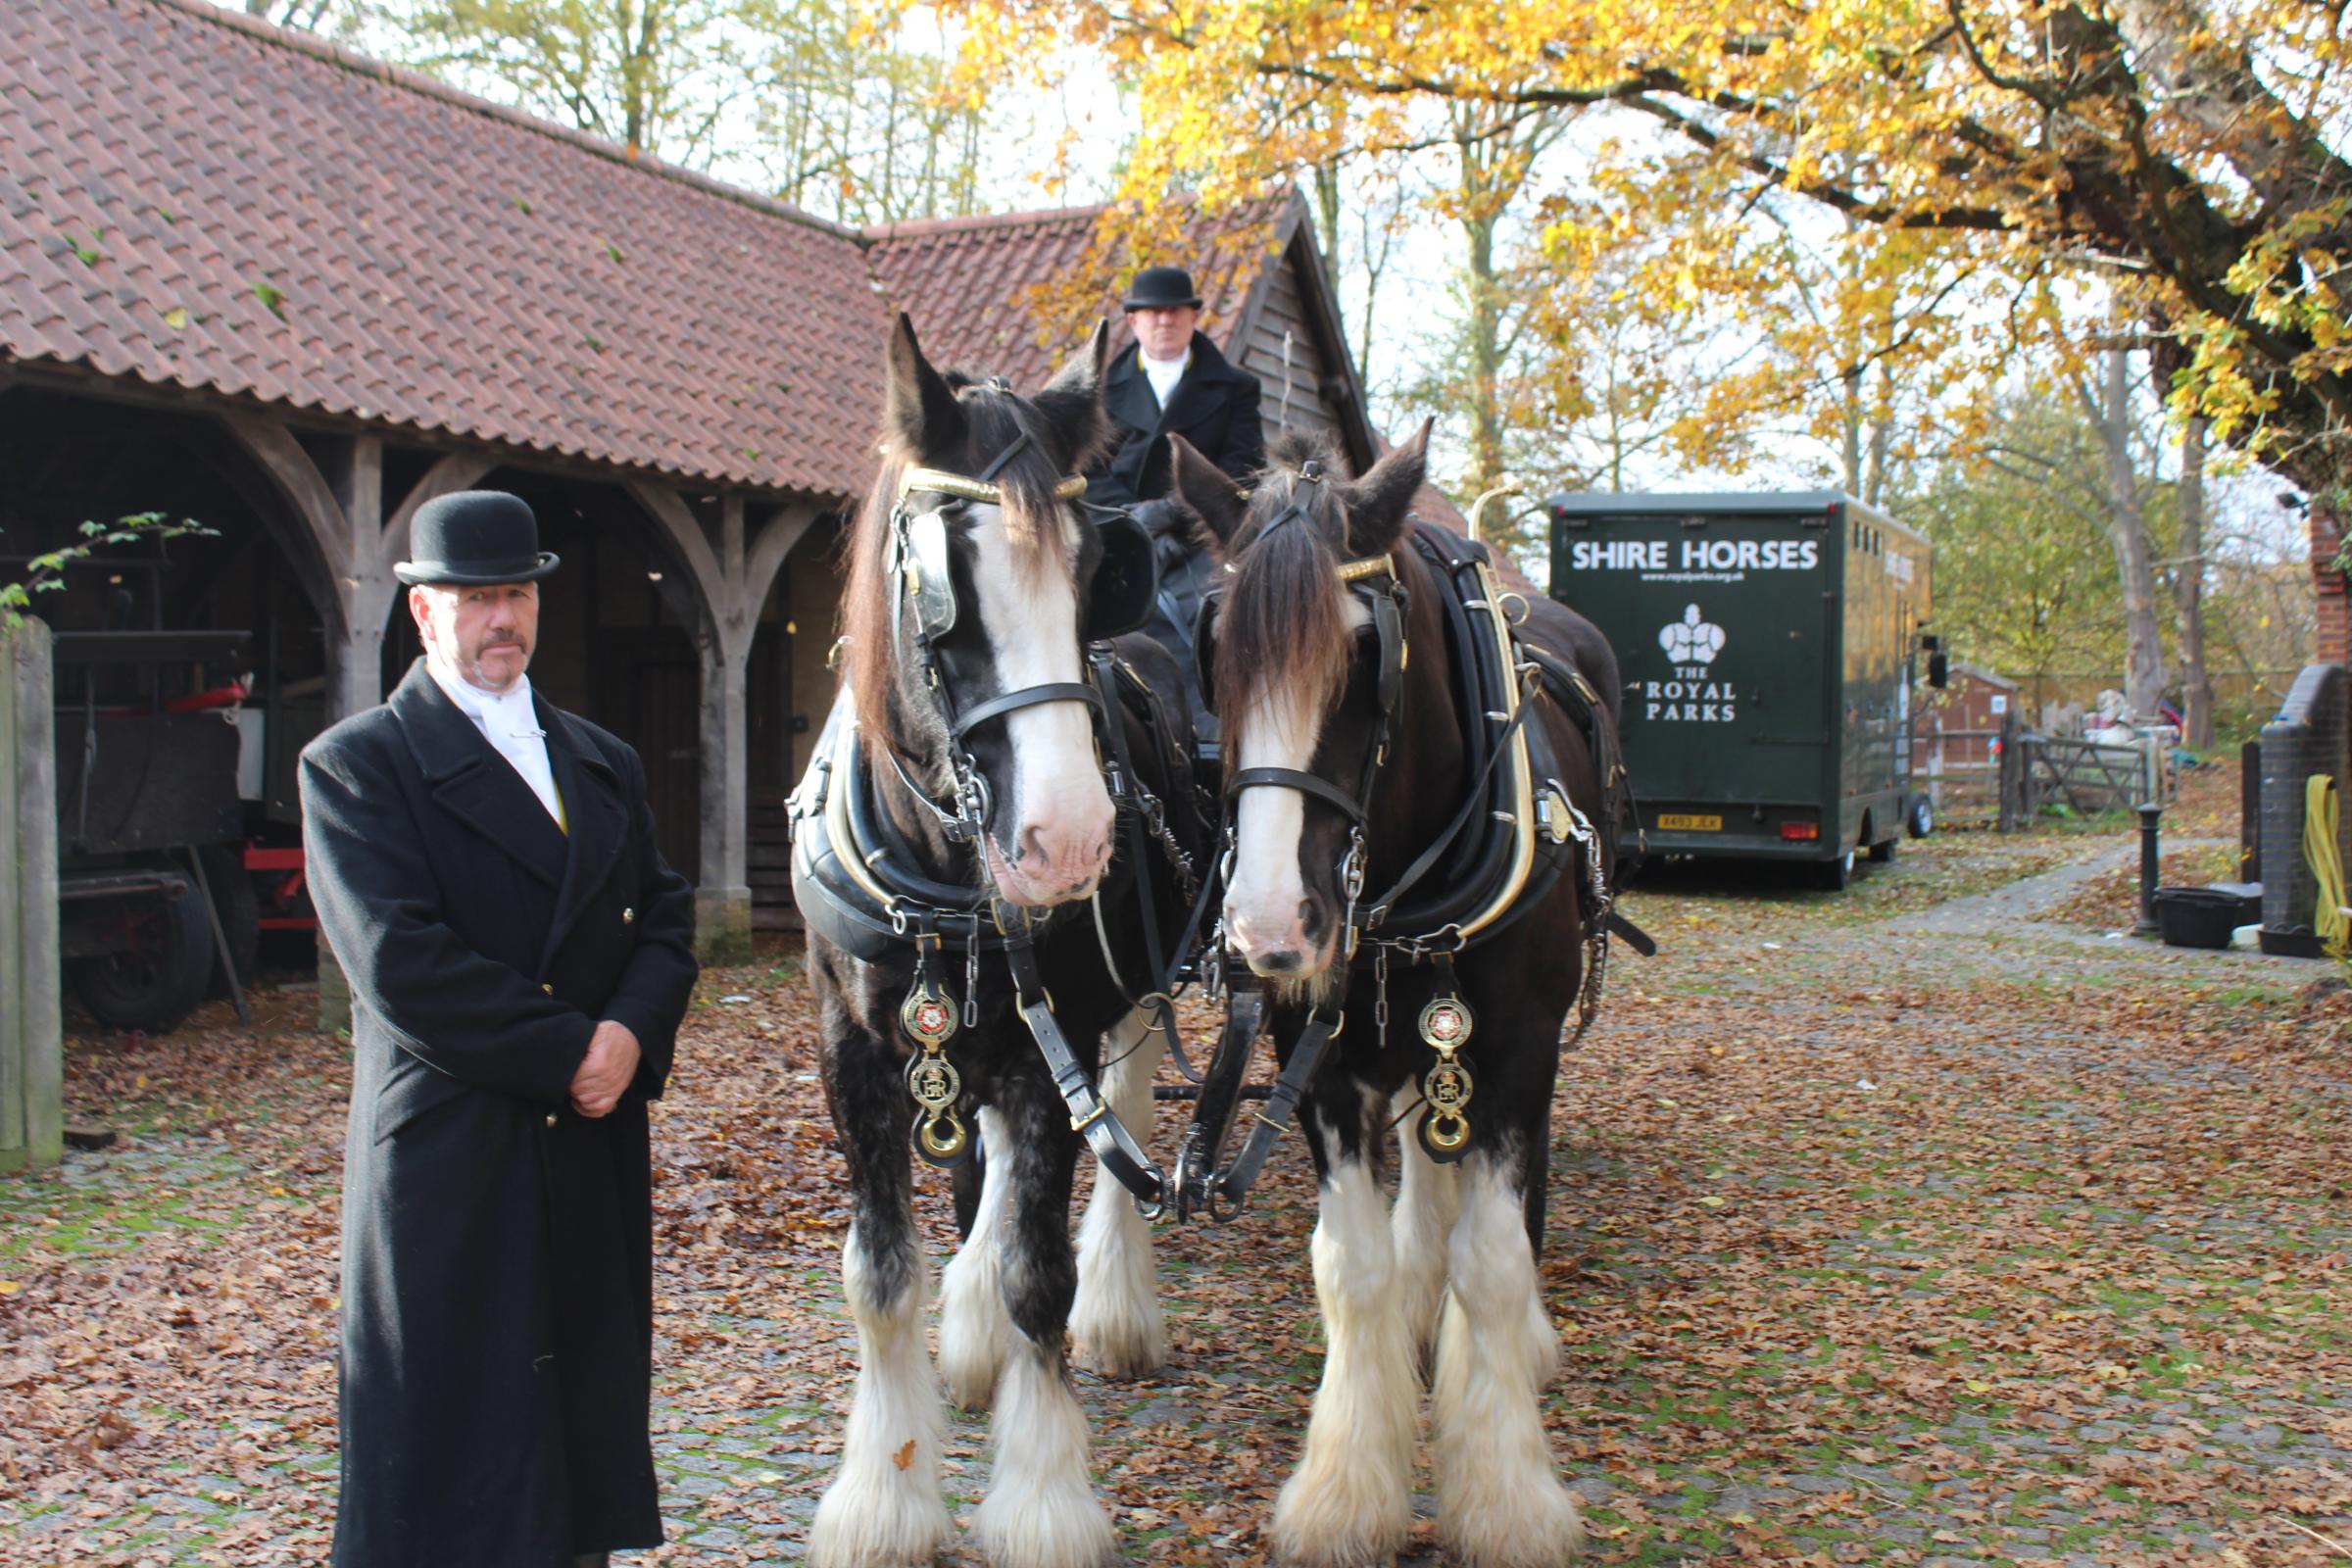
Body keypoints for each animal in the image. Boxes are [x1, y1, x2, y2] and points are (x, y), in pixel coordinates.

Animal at [790, 319, 1195, 1568]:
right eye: (939, 585)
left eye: (1090, 568)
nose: (1068, 840)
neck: (941, 871)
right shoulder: (855, 1052)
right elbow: (879, 1274)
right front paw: (882, 1493)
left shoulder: (1051, 1031)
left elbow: (1038, 1278)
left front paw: (1044, 1500)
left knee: (1121, 1110)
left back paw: (1119, 1300)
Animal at [1166, 422, 1627, 1568]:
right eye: (1213, 649)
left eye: (1366, 655)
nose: (1269, 932)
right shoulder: (1321, 1062)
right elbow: (1354, 1264)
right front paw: (1347, 1491)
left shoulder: (1517, 1055)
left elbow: (1497, 1259)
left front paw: (1505, 1496)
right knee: (1424, 1157)